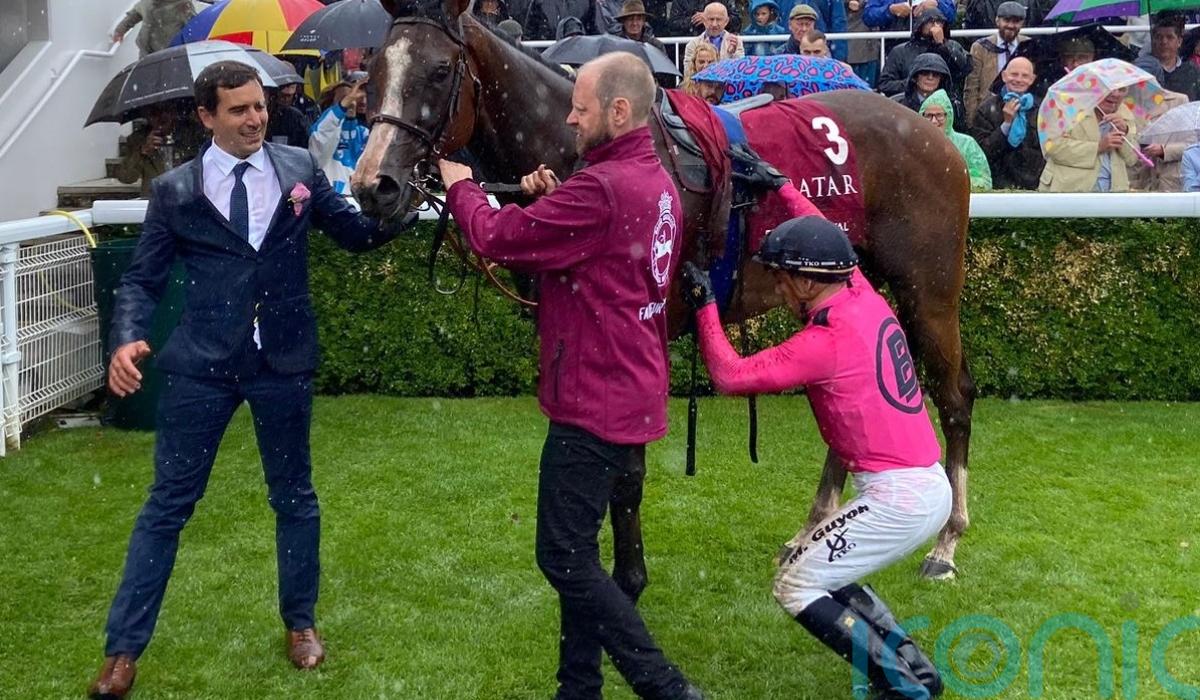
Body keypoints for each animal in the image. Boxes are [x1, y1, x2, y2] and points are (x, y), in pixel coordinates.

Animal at [351, 0, 976, 594]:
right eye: (373, 72)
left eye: (438, 70)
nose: (373, 185)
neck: (587, 150)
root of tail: (931, 133)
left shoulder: (640, 332)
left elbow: (626, 468)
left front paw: (628, 580)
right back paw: (816, 530)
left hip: (928, 292)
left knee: (955, 396)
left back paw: (946, 545)